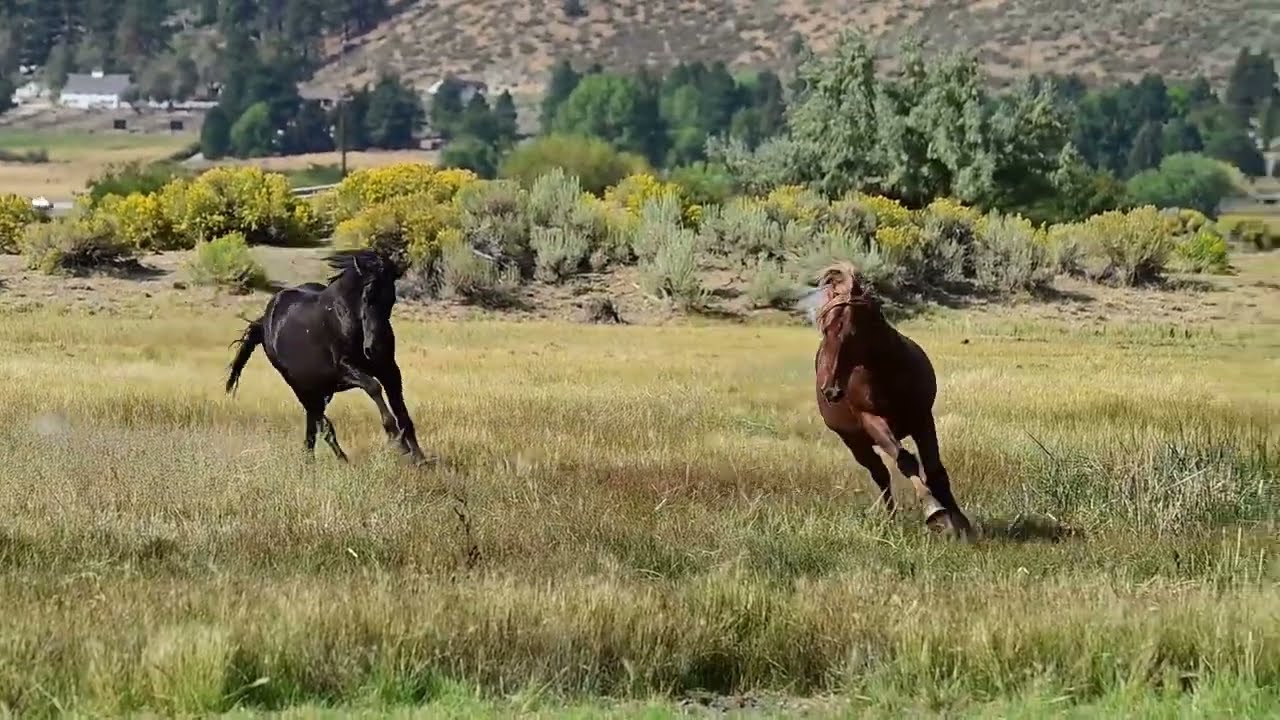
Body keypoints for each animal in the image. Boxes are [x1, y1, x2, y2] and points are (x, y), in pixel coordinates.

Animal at [223, 248, 429, 465]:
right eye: (366, 298)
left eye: (391, 299)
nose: (374, 348)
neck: (344, 320)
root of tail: (264, 322)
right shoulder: (345, 368)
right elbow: (374, 387)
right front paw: (397, 441)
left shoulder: (389, 368)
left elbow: (401, 409)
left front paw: (419, 457)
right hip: (301, 386)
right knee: (320, 421)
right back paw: (340, 460)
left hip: (322, 390)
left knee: (313, 421)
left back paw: (310, 460)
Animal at [805, 262, 974, 540]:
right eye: (825, 329)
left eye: (852, 331)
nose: (830, 390)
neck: (887, 374)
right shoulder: (872, 421)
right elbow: (905, 462)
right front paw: (935, 512)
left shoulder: (922, 418)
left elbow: (935, 470)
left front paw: (960, 524)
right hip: (856, 443)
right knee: (881, 475)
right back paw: (891, 522)